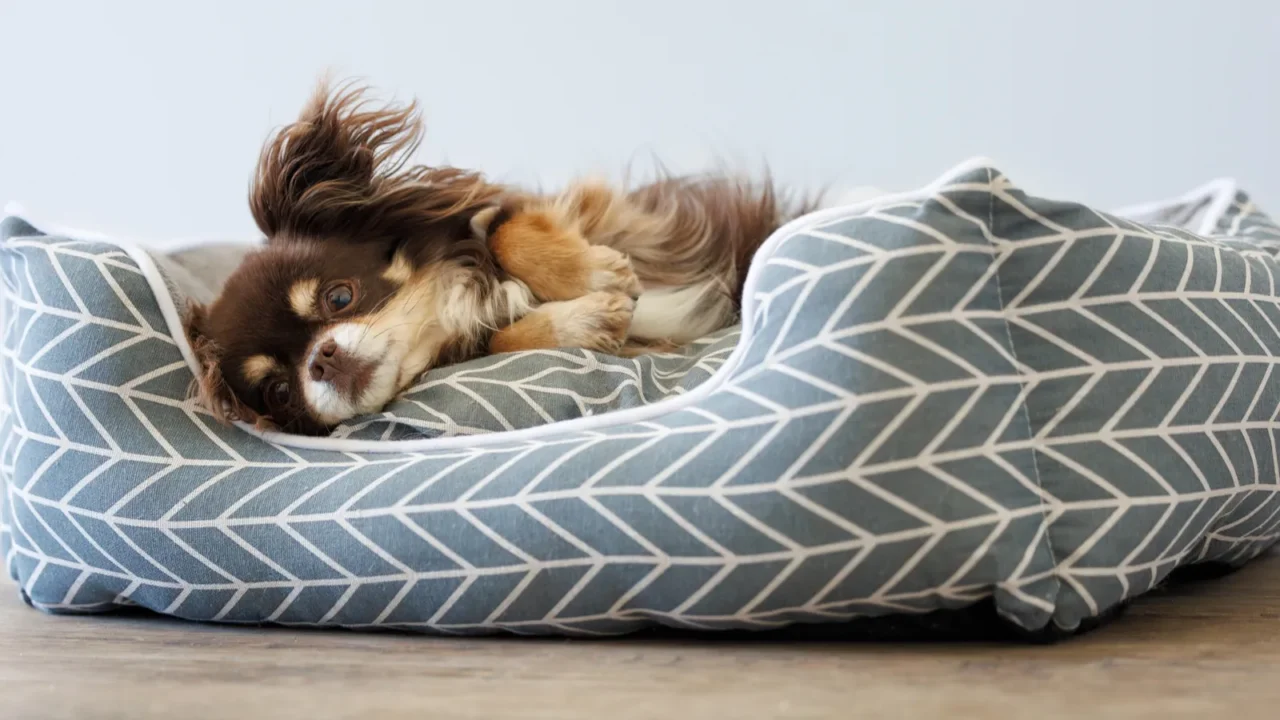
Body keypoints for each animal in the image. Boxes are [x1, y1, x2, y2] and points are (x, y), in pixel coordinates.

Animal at [186, 81, 808, 435]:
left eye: (340, 296)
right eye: (277, 392)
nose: (322, 359)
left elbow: (507, 232)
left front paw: (598, 272)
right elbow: (501, 340)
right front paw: (590, 316)